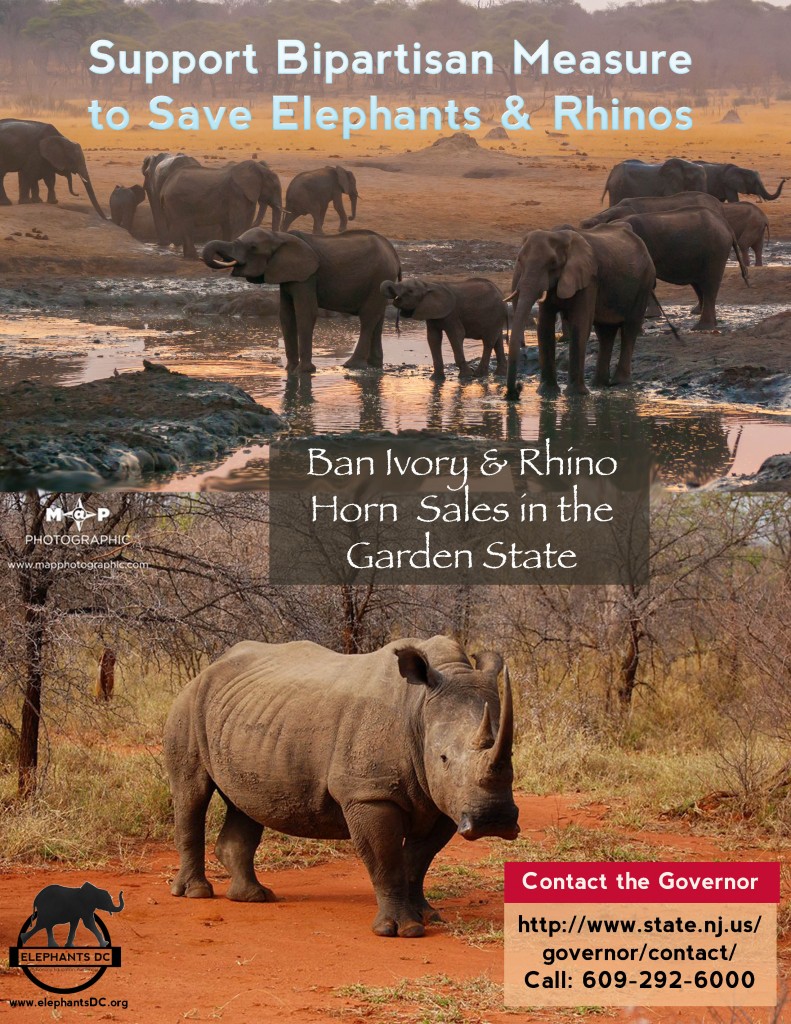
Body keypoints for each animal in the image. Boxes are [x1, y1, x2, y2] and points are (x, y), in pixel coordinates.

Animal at [164, 635, 519, 938]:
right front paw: (401, 930)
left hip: (250, 718)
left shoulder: (445, 802)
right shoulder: (368, 794)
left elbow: (418, 861)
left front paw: (427, 915)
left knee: (245, 800)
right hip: (188, 704)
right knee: (192, 793)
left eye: (512, 754)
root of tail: (208, 669)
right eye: (443, 758)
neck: (419, 706)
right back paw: (196, 893)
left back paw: (254, 896)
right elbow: (387, 860)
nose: (493, 819)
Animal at [203, 228, 401, 373]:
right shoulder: (288, 275)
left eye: (252, 247)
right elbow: (286, 315)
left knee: (368, 318)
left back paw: (351, 365)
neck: (279, 236)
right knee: (378, 318)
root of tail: (393, 251)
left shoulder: (307, 276)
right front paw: (289, 370)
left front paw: (303, 372)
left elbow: (305, 312)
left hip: (379, 277)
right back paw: (374, 364)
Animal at [506, 225, 655, 400]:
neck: (559, 236)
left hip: (644, 283)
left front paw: (575, 395)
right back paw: (599, 385)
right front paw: (547, 393)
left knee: (630, 328)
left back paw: (620, 384)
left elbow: (580, 323)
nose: (517, 390)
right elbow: (544, 326)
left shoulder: (589, 278)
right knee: (605, 332)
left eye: (553, 263)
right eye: (519, 260)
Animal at [606, 208, 748, 330]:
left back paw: (702, 327)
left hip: (716, 250)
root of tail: (726, 225)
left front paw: (649, 316)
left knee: (709, 285)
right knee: (699, 284)